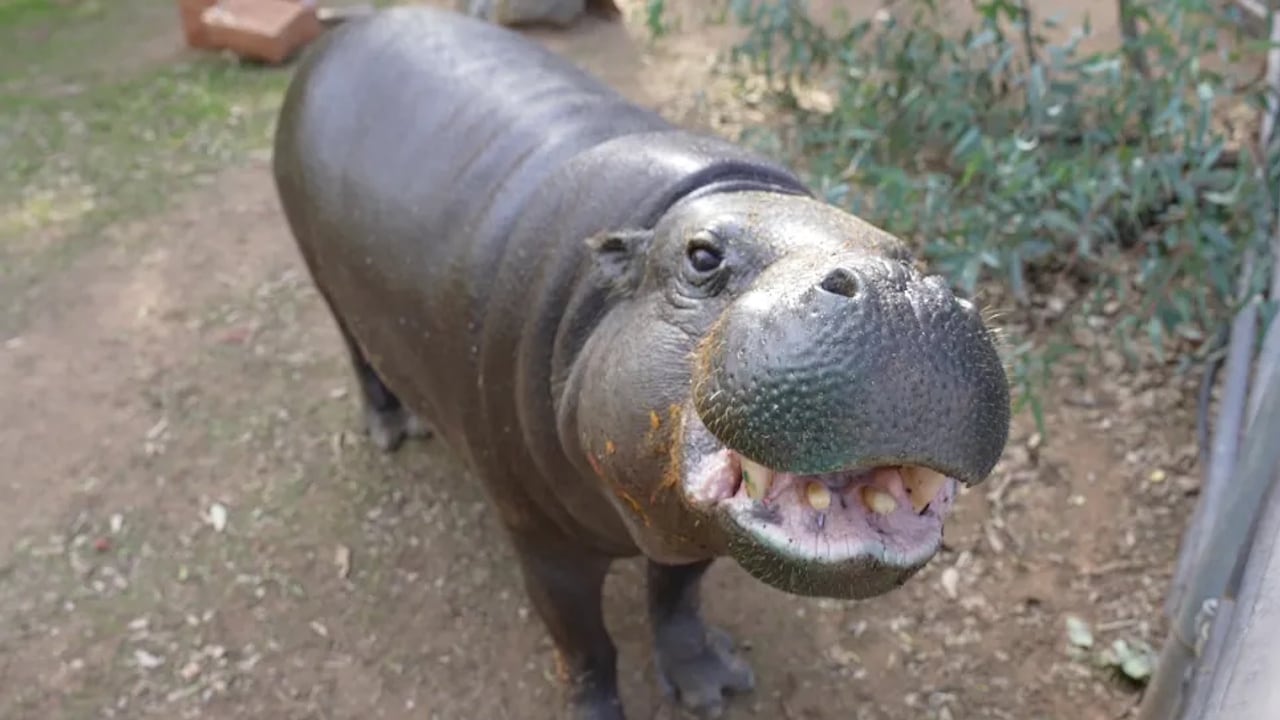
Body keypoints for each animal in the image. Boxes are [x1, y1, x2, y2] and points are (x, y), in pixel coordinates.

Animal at [271, 6, 1011, 719]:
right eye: (702, 257)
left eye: (905, 252)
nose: (904, 290)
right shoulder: (539, 537)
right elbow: (584, 644)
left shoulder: (680, 521)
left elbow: (676, 598)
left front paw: (711, 687)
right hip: (324, 281)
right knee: (359, 355)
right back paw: (395, 429)